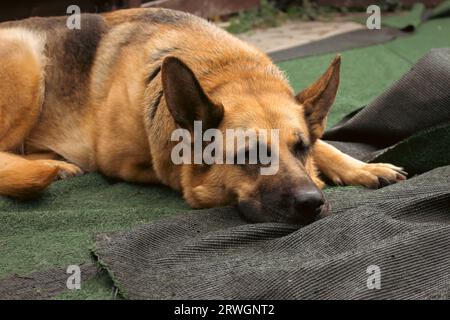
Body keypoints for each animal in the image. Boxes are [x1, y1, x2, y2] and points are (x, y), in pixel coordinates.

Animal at [0, 7, 408, 222]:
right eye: (249, 155)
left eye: (300, 147)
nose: (311, 203)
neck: (226, 69)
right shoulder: (127, 162)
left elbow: (328, 144)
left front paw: (362, 167)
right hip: (27, 59)